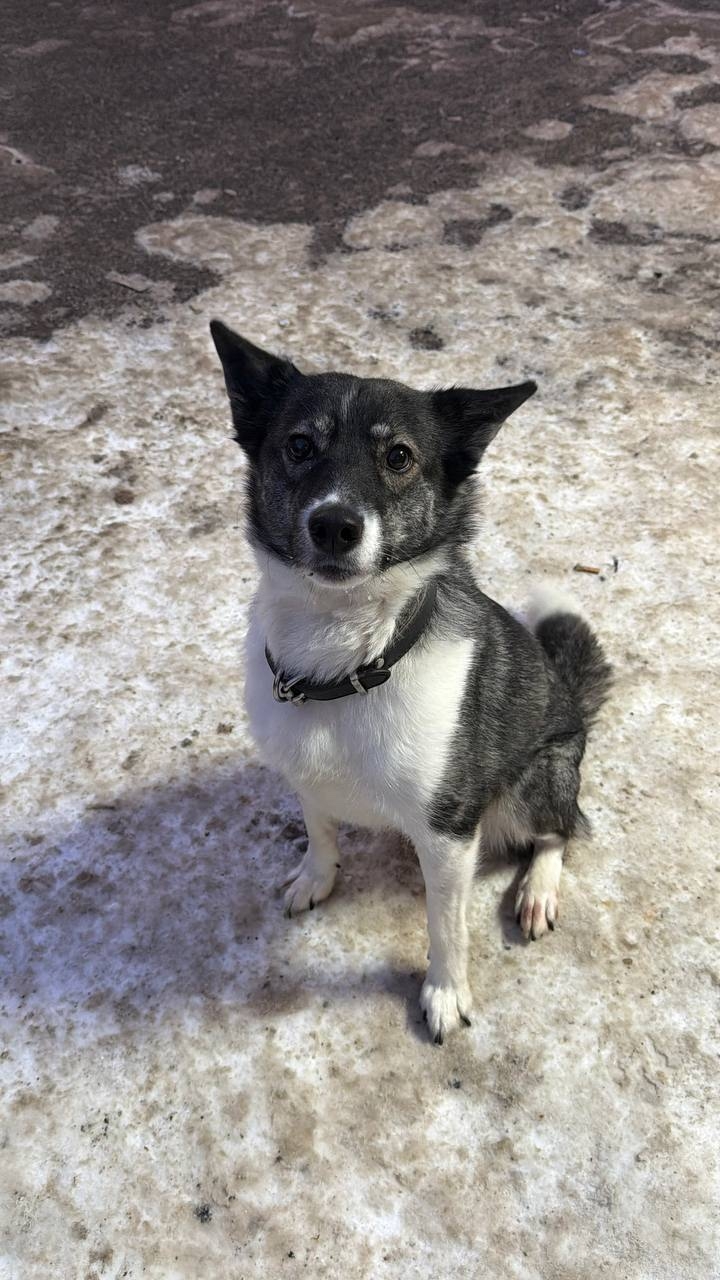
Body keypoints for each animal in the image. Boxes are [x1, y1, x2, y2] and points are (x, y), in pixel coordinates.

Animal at [210, 319, 612, 1044]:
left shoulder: (450, 833)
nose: (334, 526)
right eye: (299, 445)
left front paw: (445, 994)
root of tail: (573, 708)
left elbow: (446, 928)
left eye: (399, 457)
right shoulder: (305, 772)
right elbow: (320, 830)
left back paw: (538, 889)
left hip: (535, 780)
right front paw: (317, 876)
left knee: (561, 830)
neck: (346, 662)